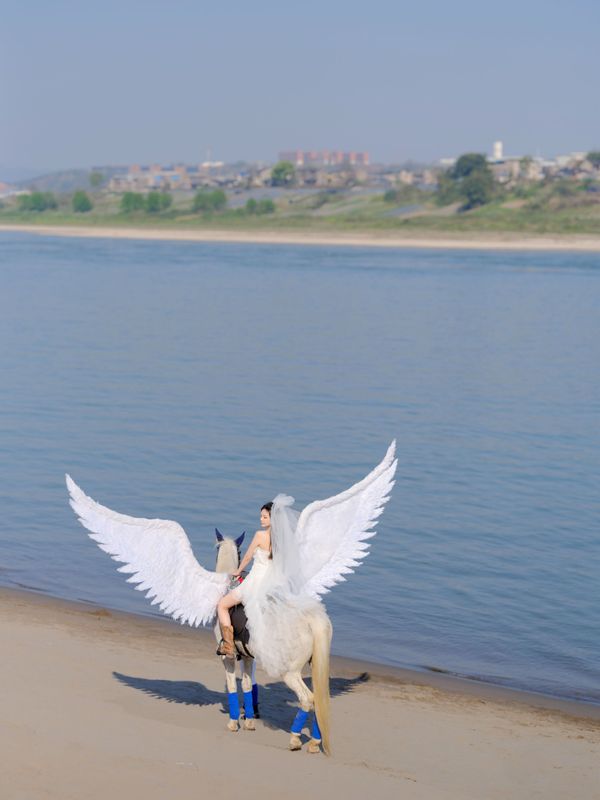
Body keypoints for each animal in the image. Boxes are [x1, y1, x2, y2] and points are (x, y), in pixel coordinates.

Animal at [213, 530, 333, 754]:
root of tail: (312, 619)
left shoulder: (228, 658)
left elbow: (233, 686)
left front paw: (234, 723)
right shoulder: (248, 658)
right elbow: (248, 686)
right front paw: (249, 721)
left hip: (290, 673)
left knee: (307, 699)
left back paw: (295, 739)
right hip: (316, 666)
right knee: (319, 700)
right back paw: (314, 742)